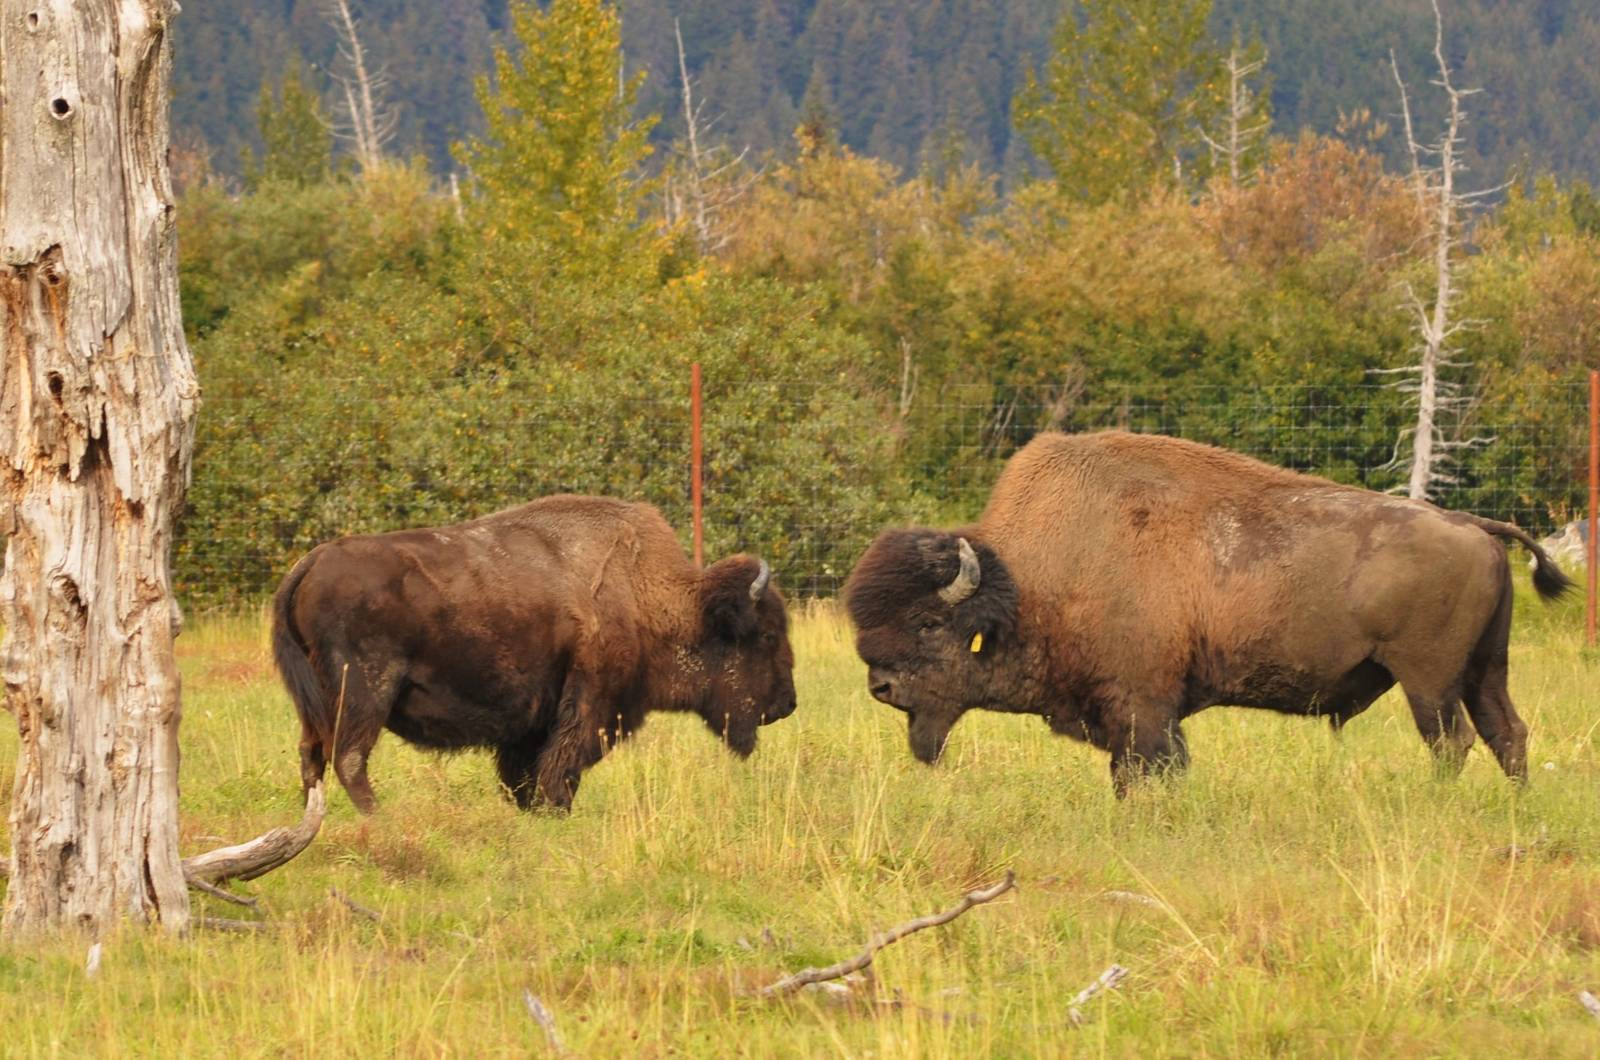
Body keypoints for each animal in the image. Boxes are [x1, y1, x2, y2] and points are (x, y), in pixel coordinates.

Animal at [272, 495, 797, 812]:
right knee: (349, 758)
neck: (646, 592)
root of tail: (311, 561)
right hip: (365, 691)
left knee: (312, 754)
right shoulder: (589, 706)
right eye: (767, 636)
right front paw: (554, 812)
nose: (787, 704)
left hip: (315, 702)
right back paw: (378, 818)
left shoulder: (531, 722)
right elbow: (560, 766)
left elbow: (525, 772)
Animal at [844, 430, 1571, 795]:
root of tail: (1472, 524)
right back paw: (1514, 805)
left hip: (1429, 679)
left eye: (929, 624)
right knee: (1507, 733)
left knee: (1452, 740)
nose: (880, 687)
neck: (1031, 582)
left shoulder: (1141, 705)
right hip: (1486, 669)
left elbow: (1147, 767)